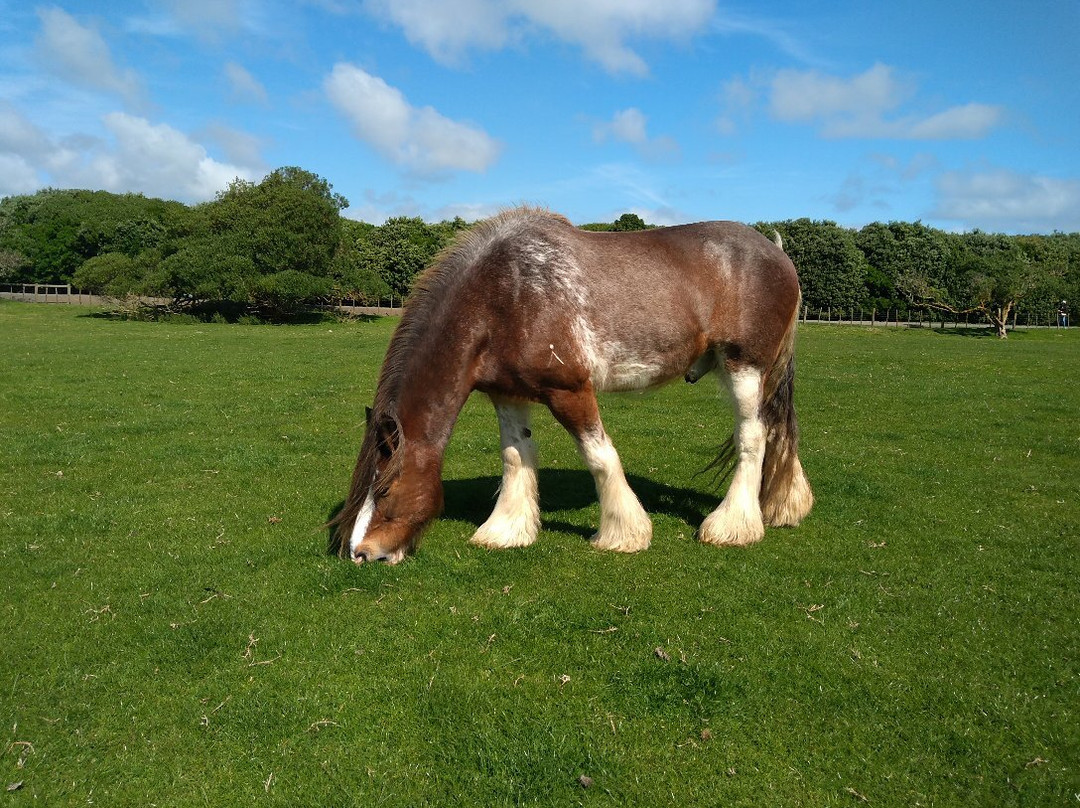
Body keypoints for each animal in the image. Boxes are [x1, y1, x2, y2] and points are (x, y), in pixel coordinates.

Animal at [328, 206, 812, 561]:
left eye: (384, 489)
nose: (360, 553)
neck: (504, 295)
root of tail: (777, 252)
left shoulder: (570, 391)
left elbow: (599, 455)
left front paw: (623, 534)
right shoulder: (507, 394)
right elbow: (516, 456)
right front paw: (506, 530)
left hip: (744, 366)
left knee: (753, 436)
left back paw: (732, 526)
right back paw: (781, 507)